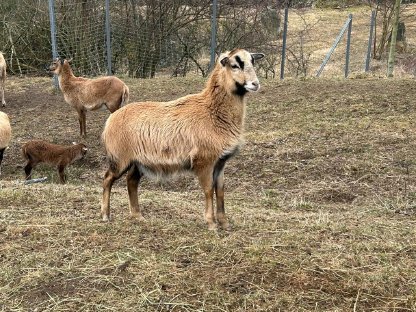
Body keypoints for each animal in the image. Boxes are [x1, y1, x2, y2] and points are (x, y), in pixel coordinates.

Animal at [100, 48, 264, 229]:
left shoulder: (220, 163)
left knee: (131, 181)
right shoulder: (204, 161)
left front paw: (224, 222)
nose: (255, 84)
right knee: (107, 179)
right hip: (120, 158)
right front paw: (211, 223)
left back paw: (137, 216)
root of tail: (111, 119)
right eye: (234, 65)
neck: (212, 111)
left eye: (252, 62)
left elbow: (220, 191)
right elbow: (208, 190)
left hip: (138, 161)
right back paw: (105, 215)